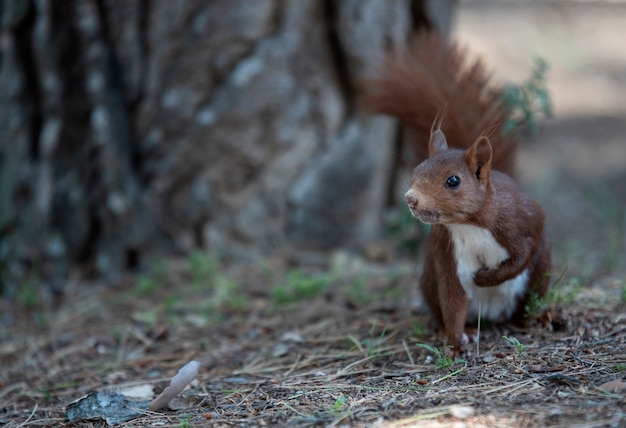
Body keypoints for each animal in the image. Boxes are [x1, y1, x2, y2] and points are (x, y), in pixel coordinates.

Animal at [364, 32, 548, 354]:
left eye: (453, 181)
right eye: (415, 171)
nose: (410, 198)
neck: (468, 224)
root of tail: (493, 315)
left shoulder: (520, 219)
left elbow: (523, 252)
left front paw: (487, 277)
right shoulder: (446, 252)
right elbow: (453, 298)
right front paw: (456, 339)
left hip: (540, 274)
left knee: (526, 304)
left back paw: (539, 318)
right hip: (428, 277)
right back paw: (460, 331)